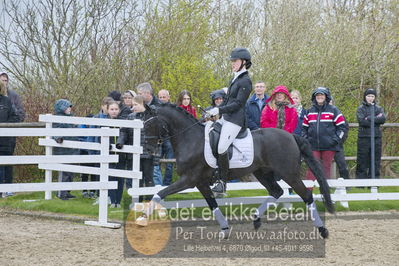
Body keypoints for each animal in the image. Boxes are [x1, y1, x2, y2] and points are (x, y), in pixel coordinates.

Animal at [139, 103, 332, 238]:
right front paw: (224, 230)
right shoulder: (200, 183)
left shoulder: (189, 179)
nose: (147, 151)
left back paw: (322, 230)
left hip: (288, 174)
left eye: (149, 125)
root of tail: (291, 135)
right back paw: (255, 220)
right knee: (276, 191)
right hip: (262, 173)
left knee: (306, 195)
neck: (190, 139)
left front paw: (142, 218)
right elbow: (212, 204)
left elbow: (159, 194)